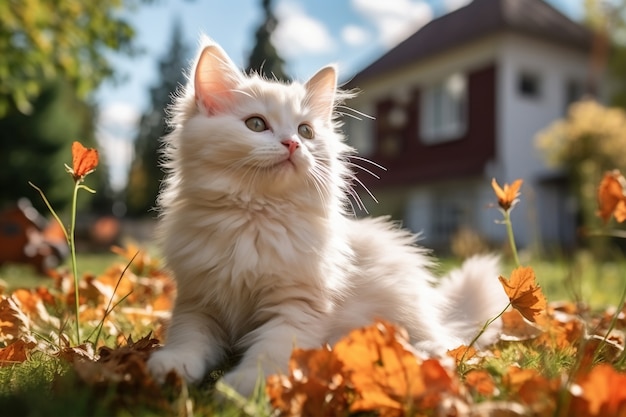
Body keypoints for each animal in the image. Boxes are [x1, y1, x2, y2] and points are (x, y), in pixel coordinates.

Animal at [146, 36, 508, 396]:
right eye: (256, 124)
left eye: (306, 131)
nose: (292, 144)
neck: (255, 218)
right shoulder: (198, 302)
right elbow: (188, 340)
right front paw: (172, 368)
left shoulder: (297, 306)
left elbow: (271, 349)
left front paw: (246, 386)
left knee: (444, 342)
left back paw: (426, 355)